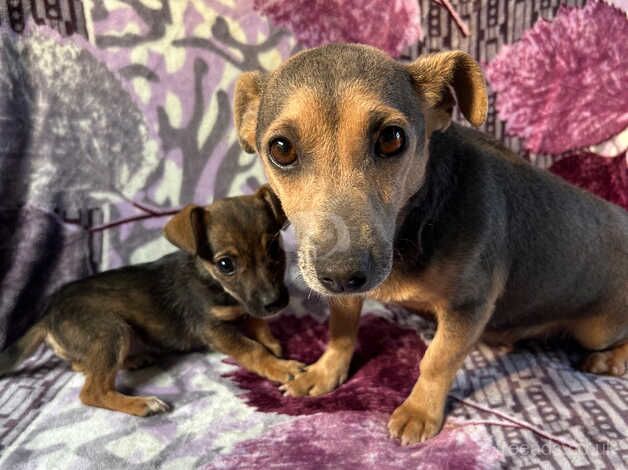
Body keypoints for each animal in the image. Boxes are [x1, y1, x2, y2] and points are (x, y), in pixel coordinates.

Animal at [0, 186, 304, 414]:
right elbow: (251, 349)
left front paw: (272, 342)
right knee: (92, 390)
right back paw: (140, 403)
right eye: (226, 264)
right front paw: (280, 367)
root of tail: (48, 313)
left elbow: (257, 324)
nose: (275, 303)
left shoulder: (246, 306)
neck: (214, 283)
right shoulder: (213, 329)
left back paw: (133, 359)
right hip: (111, 331)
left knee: (82, 365)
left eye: (274, 248)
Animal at [234, 44, 628, 444]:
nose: (342, 274)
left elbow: (437, 360)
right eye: (281, 149)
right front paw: (323, 372)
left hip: (598, 329)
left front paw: (419, 412)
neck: (412, 225)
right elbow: (341, 333)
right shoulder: (345, 298)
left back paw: (610, 360)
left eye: (391, 138)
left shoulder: (468, 306)